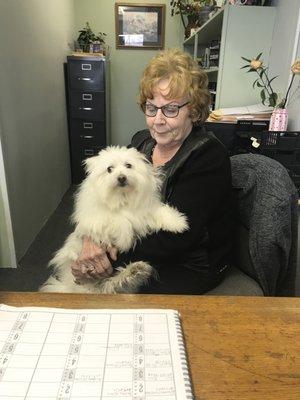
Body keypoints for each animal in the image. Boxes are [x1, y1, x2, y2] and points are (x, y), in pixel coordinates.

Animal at [39, 145, 188, 292]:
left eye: (128, 165)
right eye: (109, 169)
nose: (121, 177)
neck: (122, 197)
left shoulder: (145, 209)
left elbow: (160, 212)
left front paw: (179, 223)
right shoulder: (99, 221)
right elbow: (120, 221)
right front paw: (125, 240)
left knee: (113, 284)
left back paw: (136, 271)